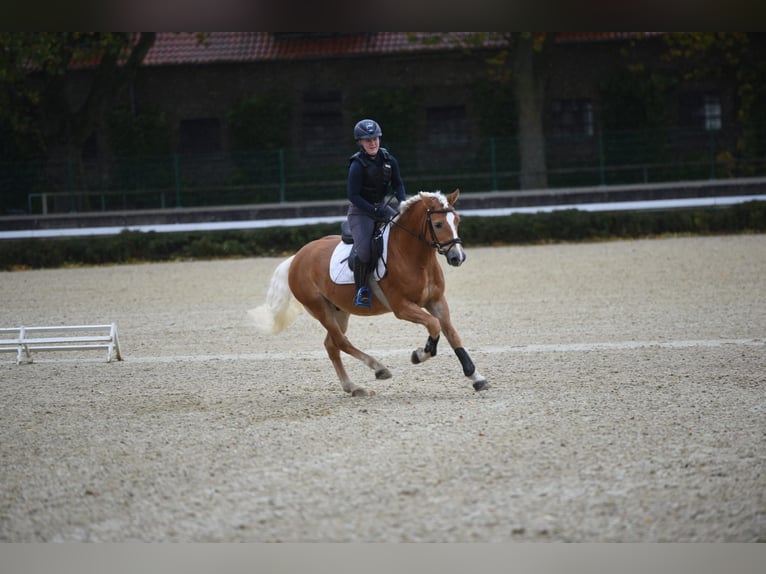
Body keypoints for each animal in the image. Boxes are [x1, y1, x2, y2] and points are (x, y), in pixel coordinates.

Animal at [252, 189, 492, 396]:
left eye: (457, 221)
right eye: (438, 224)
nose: (457, 257)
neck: (414, 256)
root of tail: (297, 256)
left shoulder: (437, 301)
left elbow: (452, 334)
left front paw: (476, 377)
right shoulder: (402, 307)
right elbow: (434, 325)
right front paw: (420, 354)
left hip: (339, 310)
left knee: (331, 344)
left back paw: (353, 387)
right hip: (320, 308)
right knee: (341, 342)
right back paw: (378, 368)